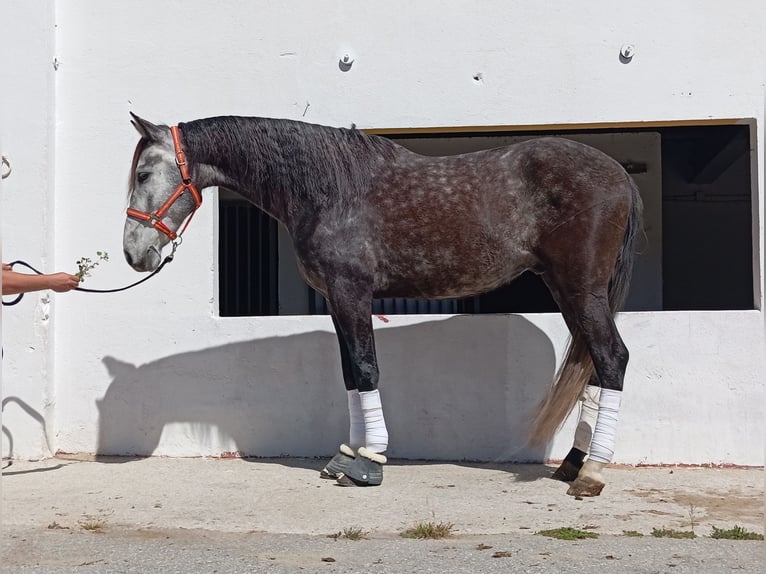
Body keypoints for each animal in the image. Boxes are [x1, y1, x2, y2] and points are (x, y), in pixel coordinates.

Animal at [123, 113, 642, 497]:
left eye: (144, 174)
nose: (133, 253)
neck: (329, 189)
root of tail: (618, 173)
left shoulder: (352, 292)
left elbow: (368, 369)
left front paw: (370, 463)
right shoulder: (336, 299)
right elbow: (351, 375)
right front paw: (347, 456)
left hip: (580, 287)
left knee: (612, 358)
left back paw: (592, 473)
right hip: (569, 290)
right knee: (594, 365)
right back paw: (572, 464)